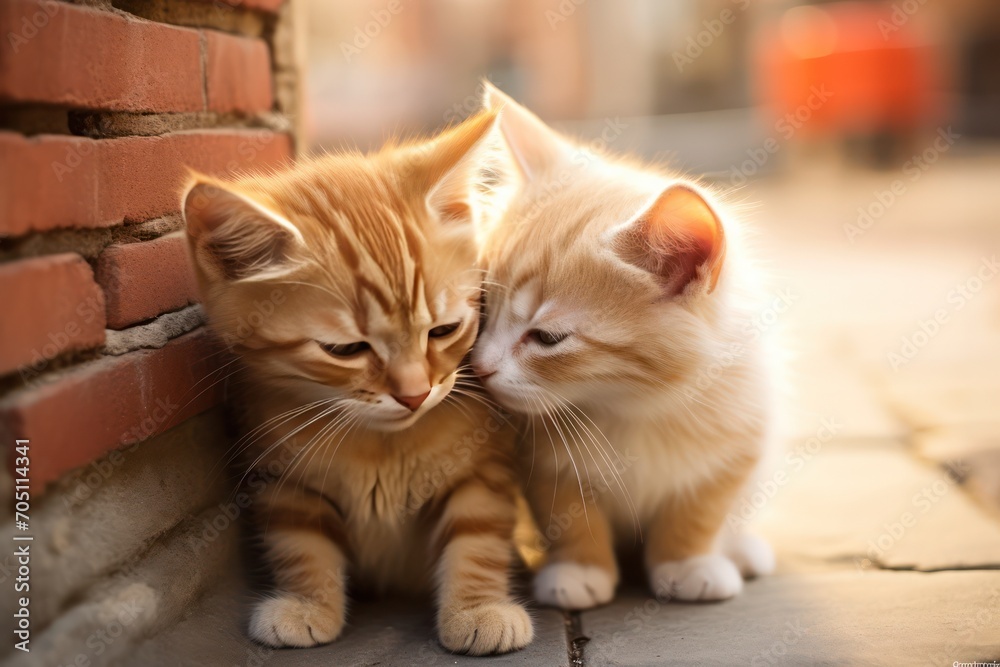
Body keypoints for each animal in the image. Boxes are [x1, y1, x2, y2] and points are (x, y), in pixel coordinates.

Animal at [184, 111, 536, 656]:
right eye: (345, 350)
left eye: (443, 330)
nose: (415, 394)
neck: (379, 446)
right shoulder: (284, 476)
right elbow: (301, 542)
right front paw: (307, 603)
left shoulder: (485, 467)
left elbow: (477, 534)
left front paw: (478, 609)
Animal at [472, 85, 776, 612]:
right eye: (485, 310)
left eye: (547, 338)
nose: (480, 366)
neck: (631, 405)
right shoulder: (541, 460)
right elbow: (568, 513)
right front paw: (578, 570)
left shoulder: (741, 439)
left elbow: (701, 509)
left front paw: (688, 563)